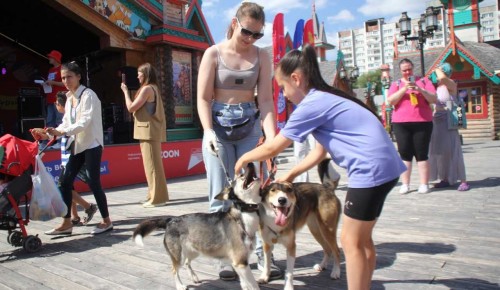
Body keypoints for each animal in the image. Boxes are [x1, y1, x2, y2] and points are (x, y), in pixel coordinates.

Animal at [256, 160, 342, 288]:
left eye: (289, 190)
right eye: (273, 190)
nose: (282, 200)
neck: (275, 220)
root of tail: (327, 187)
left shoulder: (291, 246)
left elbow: (289, 272)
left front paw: (288, 287)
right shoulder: (267, 244)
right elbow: (267, 264)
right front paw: (264, 277)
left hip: (328, 229)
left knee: (336, 251)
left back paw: (336, 272)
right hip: (316, 229)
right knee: (328, 249)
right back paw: (322, 266)